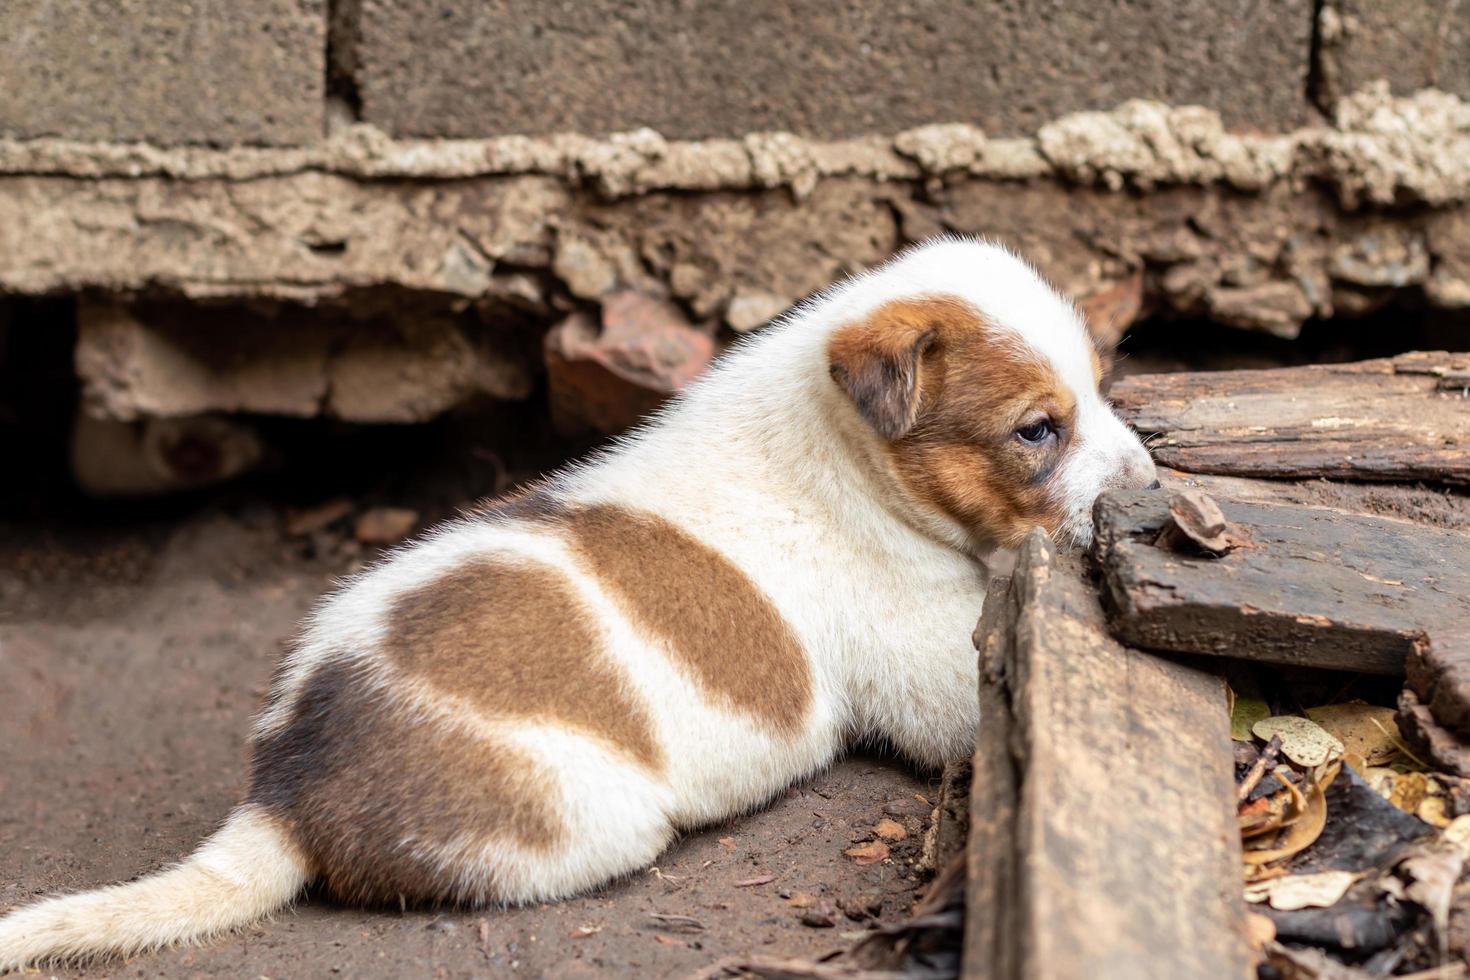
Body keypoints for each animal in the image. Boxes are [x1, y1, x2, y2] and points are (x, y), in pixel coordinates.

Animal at [0, 235, 1152, 963]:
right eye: (1036, 430)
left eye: (1104, 390)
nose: (1144, 483)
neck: (847, 450)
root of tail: (282, 793)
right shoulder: (927, 661)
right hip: (590, 820)